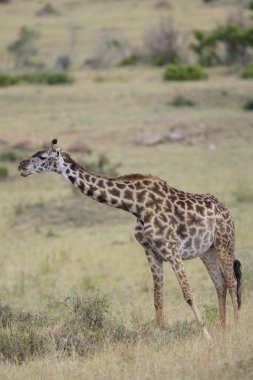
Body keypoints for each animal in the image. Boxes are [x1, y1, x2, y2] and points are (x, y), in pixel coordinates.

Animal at [18, 139, 243, 338]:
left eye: (43, 156)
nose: (21, 166)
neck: (137, 206)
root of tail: (226, 210)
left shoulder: (171, 249)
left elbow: (188, 294)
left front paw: (206, 335)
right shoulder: (151, 252)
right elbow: (158, 298)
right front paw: (160, 335)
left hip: (225, 242)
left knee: (232, 282)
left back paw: (235, 328)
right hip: (207, 251)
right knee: (220, 283)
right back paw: (223, 328)